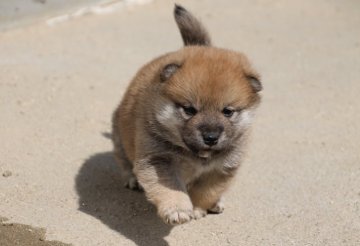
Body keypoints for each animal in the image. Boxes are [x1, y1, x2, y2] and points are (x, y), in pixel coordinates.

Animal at [112, 4, 262, 225]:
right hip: (120, 136)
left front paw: (199, 207)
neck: (197, 155)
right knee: (123, 159)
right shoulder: (159, 160)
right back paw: (132, 179)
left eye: (227, 112)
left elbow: (205, 191)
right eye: (189, 110)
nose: (211, 137)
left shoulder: (222, 168)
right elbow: (171, 188)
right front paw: (177, 210)